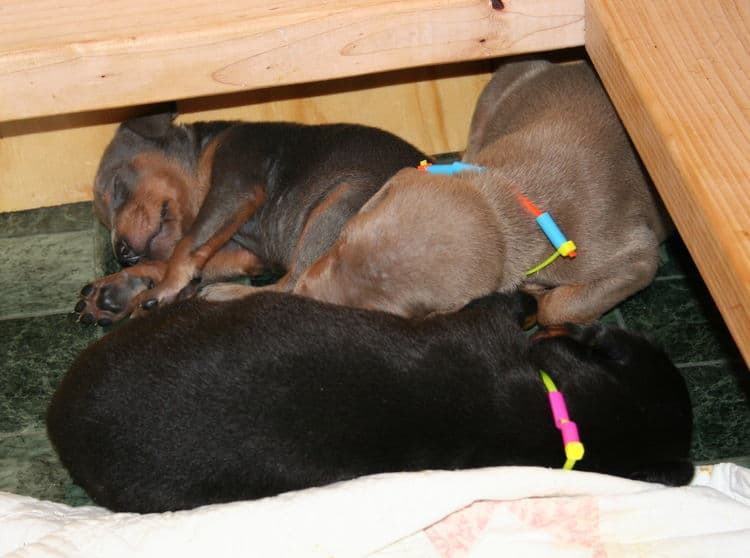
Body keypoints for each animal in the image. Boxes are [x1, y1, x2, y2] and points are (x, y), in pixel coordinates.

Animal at [204, 59, 668, 326]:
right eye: (340, 245)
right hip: (497, 87)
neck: (502, 196)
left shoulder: (634, 257)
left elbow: (562, 306)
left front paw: (542, 299)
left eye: (368, 311)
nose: (306, 298)